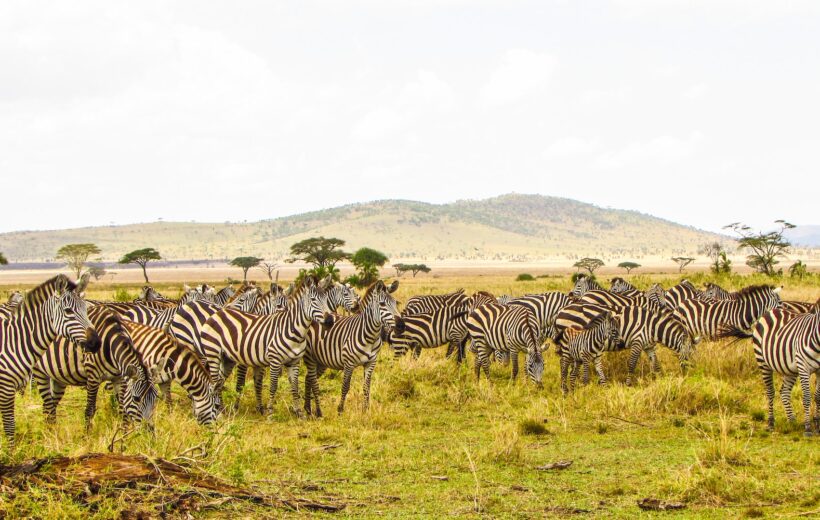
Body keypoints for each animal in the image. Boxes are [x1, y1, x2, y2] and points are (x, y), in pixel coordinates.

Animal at [0, 276, 101, 446]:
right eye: (68, 311)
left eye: (86, 309)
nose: (96, 343)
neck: (14, 342)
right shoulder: (6, 387)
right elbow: (9, 424)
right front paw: (11, 450)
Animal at [202, 276, 334, 414]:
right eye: (313, 300)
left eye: (326, 300)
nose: (330, 321)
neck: (293, 330)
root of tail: (217, 313)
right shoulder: (273, 360)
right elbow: (271, 386)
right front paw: (269, 411)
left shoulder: (294, 361)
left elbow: (294, 386)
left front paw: (298, 412)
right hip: (213, 353)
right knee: (215, 381)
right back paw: (217, 409)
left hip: (226, 358)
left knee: (219, 382)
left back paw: (221, 408)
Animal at [302, 280, 404, 414]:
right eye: (382, 304)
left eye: (395, 303)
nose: (402, 325)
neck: (370, 336)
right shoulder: (349, 363)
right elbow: (345, 386)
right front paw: (340, 409)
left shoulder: (371, 363)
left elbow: (366, 387)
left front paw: (365, 409)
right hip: (311, 358)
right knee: (310, 378)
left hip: (322, 361)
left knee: (308, 378)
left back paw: (308, 408)